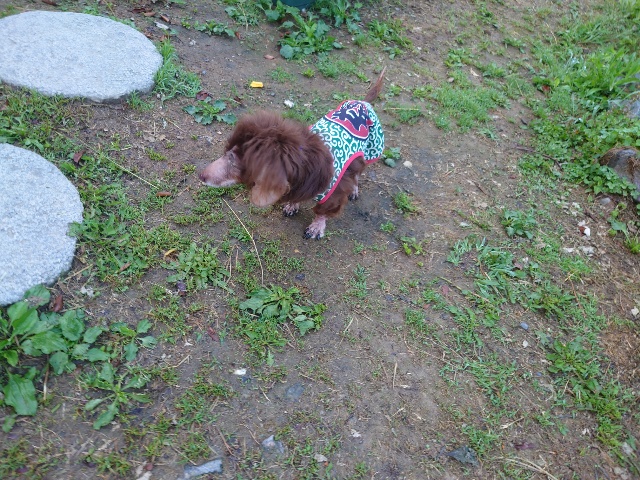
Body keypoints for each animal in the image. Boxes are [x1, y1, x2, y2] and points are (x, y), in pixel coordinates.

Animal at [199, 69, 385, 239]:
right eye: (226, 152)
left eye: (233, 160)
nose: (200, 175)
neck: (303, 164)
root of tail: (363, 103)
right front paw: (292, 205)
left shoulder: (333, 195)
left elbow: (323, 211)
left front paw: (316, 228)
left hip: (367, 152)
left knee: (357, 173)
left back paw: (354, 190)